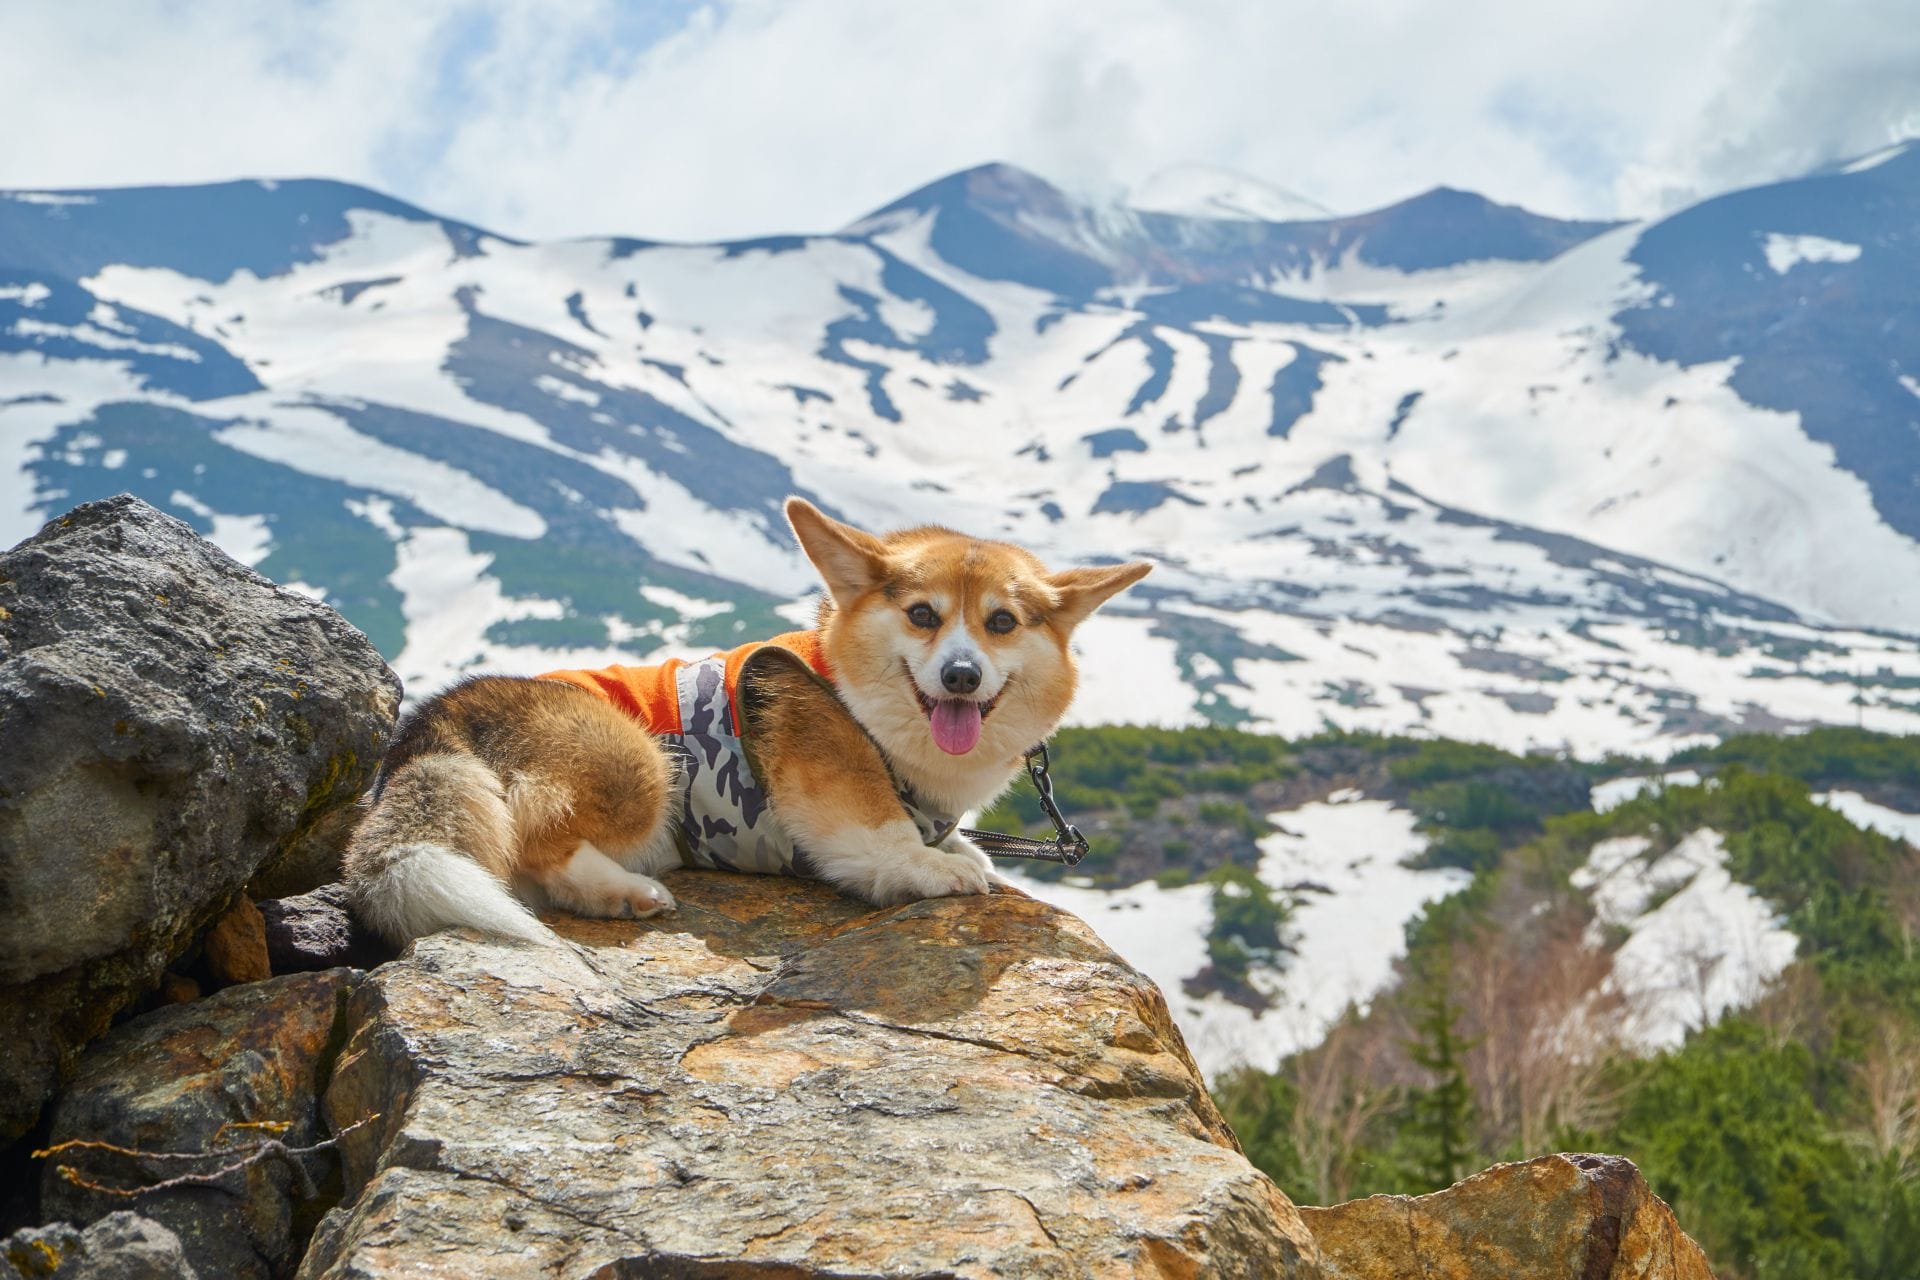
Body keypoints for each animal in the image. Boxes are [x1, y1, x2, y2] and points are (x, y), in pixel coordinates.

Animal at [343, 495, 1144, 948]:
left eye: (1001, 622)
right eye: (923, 614)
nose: (961, 677)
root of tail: (436, 721)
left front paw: (965, 851)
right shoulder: (837, 794)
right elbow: (884, 835)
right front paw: (939, 869)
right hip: (640, 763)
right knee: (537, 843)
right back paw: (626, 892)